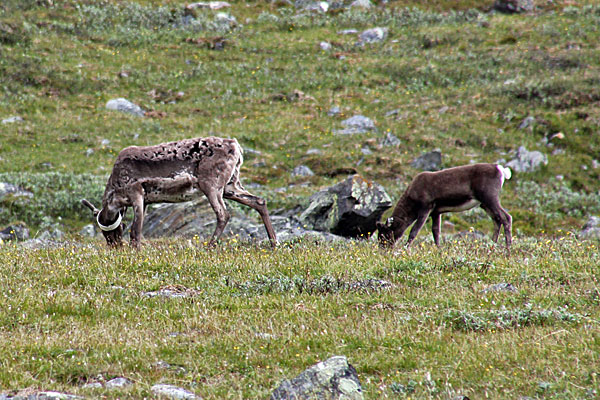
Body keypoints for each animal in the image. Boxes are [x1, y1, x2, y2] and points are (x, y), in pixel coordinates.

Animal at [81, 139, 278, 248]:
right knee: (258, 201)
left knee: (223, 214)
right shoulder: (146, 201)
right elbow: (138, 230)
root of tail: (236, 146)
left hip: (211, 185)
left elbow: (135, 232)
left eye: (109, 232)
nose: (115, 248)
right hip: (231, 185)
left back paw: (208, 247)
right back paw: (274, 243)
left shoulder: (136, 193)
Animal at [376, 164, 510, 248]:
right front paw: (439, 248)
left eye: (385, 233)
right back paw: (492, 245)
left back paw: (508, 249)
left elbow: (414, 230)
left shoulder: (426, 207)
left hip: (490, 197)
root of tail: (501, 170)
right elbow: (436, 231)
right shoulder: (436, 212)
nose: (382, 248)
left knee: (506, 217)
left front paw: (405, 248)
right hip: (484, 203)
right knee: (497, 219)